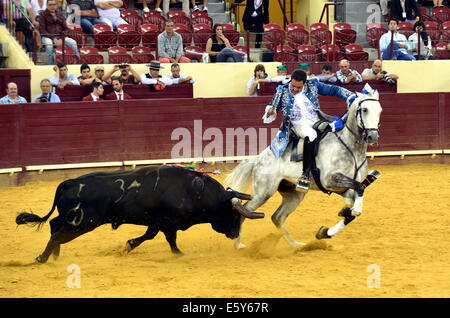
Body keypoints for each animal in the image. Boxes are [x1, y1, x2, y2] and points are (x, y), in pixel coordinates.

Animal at [16, 165, 264, 262]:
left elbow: (151, 235)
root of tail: (67, 183)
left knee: (54, 226)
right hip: (81, 222)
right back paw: (42, 258)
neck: (195, 190)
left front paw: (129, 245)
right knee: (57, 234)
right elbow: (168, 238)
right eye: (234, 216)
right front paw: (179, 253)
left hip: (69, 219)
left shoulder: (158, 222)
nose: (236, 236)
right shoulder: (168, 222)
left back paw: (55, 256)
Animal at [227, 90, 382, 247]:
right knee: (244, 211)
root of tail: (259, 158)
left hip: (294, 194)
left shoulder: (346, 189)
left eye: (380, 110)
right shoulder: (330, 179)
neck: (352, 148)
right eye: (365, 109)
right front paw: (353, 211)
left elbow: (352, 209)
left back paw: (296, 245)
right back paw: (238, 245)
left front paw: (325, 232)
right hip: (263, 192)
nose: (373, 136)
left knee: (277, 217)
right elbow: (359, 193)